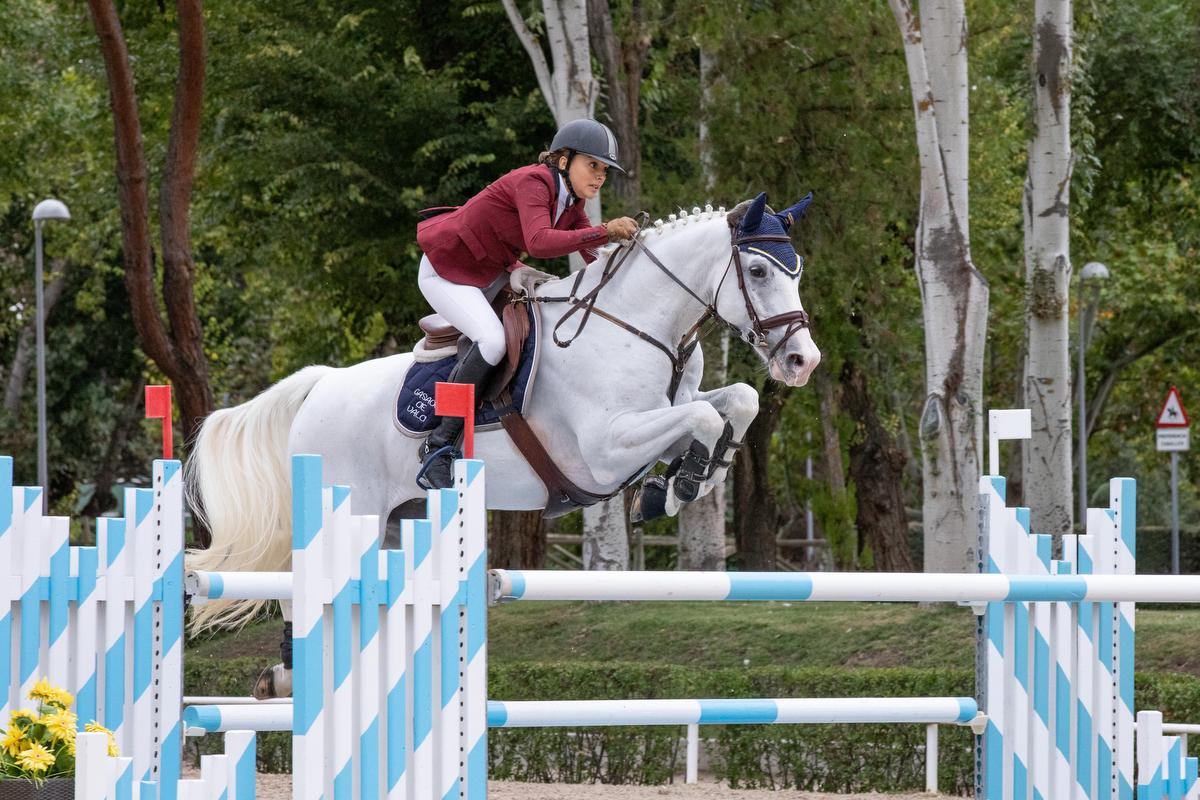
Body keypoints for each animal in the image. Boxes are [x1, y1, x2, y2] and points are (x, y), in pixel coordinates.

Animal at [182, 191, 820, 690]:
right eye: (758, 272)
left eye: (796, 272)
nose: (802, 360)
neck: (634, 325)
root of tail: (319, 387)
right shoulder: (605, 449)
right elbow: (708, 420)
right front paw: (679, 486)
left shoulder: (664, 419)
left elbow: (735, 402)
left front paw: (684, 483)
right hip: (349, 515)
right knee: (301, 583)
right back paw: (287, 672)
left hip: (395, 524)